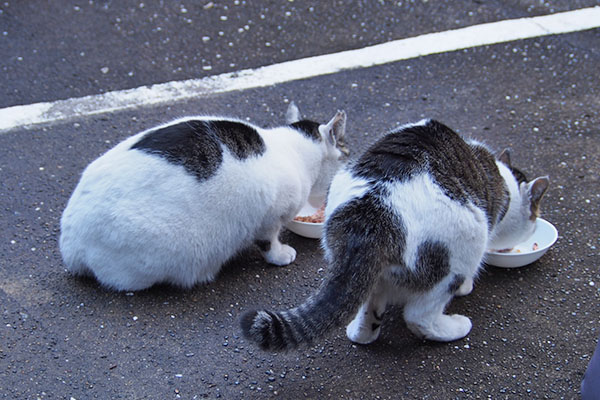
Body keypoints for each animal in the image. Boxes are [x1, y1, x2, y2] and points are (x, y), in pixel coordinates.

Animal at [58, 104, 350, 290]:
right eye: (347, 152)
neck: (294, 150)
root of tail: (70, 243)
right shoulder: (269, 217)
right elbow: (269, 241)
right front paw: (280, 255)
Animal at [241, 119, 552, 350]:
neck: (503, 181)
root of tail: (373, 215)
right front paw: (468, 287)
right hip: (465, 240)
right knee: (419, 316)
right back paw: (453, 326)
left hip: (360, 261)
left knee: (368, 304)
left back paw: (361, 331)